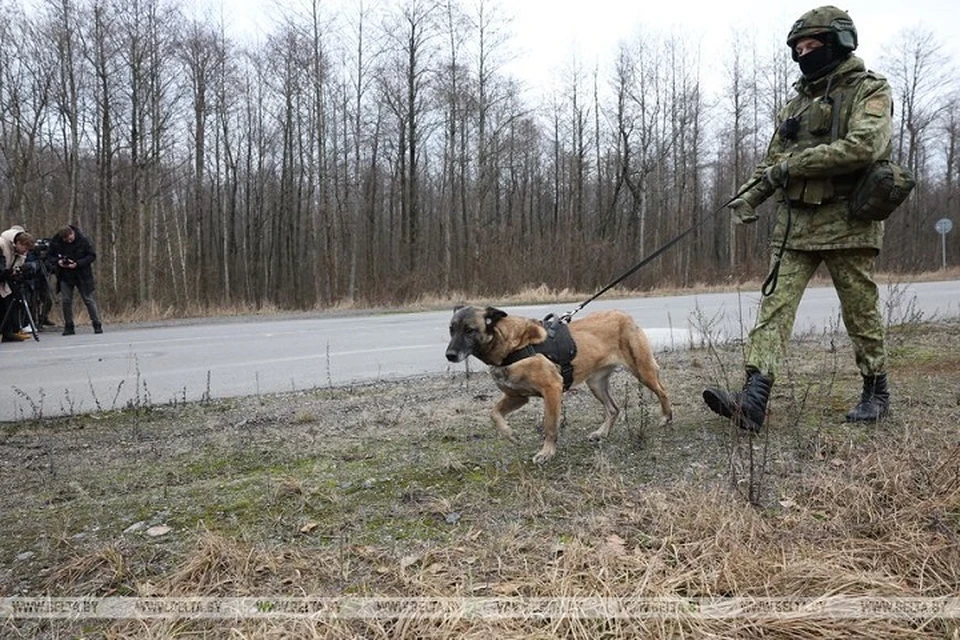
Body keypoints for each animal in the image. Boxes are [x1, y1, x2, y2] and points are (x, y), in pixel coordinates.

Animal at [446, 306, 672, 462]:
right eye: (451, 330)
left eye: (469, 330)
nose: (449, 355)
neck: (511, 346)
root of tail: (624, 315)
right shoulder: (517, 397)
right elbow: (494, 413)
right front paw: (510, 434)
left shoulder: (552, 390)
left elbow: (550, 426)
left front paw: (547, 453)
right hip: (596, 383)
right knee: (614, 409)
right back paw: (602, 433)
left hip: (642, 371)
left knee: (663, 391)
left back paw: (666, 417)